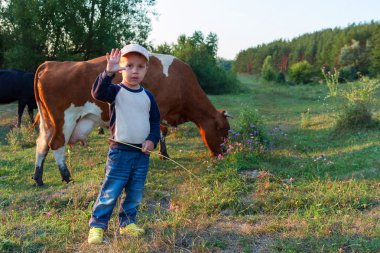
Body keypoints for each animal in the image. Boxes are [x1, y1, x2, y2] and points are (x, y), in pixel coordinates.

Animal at [31, 54, 232, 186]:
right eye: (223, 131)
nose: (224, 153)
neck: (180, 81)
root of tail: (51, 64)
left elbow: (160, 132)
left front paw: (163, 154)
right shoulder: (160, 110)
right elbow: (161, 131)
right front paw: (162, 154)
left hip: (48, 121)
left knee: (42, 144)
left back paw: (38, 178)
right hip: (65, 119)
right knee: (56, 145)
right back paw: (66, 176)